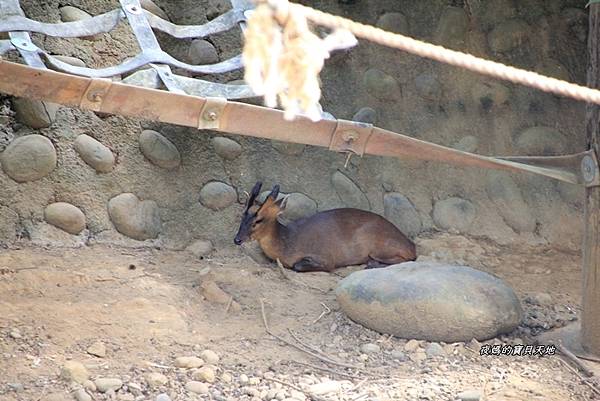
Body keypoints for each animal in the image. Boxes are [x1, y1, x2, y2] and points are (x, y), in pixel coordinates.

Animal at [234, 181, 418, 272]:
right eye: (243, 215)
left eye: (258, 220)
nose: (237, 239)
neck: (287, 242)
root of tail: (411, 244)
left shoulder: (327, 258)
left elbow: (297, 266)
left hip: (379, 246)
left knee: (408, 259)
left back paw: (372, 264)